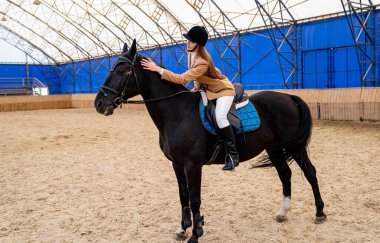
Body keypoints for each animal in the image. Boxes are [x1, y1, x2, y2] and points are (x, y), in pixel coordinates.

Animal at [95, 40, 326, 242]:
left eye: (122, 70)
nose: (99, 103)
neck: (177, 112)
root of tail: (289, 97)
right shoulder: (177, 165)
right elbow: (183, 196)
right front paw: (182, 229)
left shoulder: (192, 165)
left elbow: (195, 200)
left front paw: (196, 235)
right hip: (275, 148)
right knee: (285, 174)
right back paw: (282, 213)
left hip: (294, 147)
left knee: (310, 172)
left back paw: (320, 213)